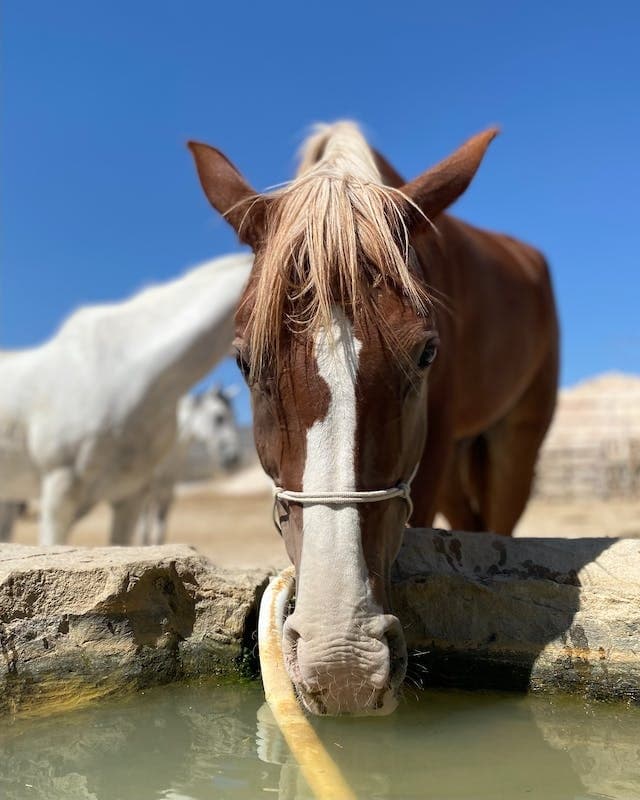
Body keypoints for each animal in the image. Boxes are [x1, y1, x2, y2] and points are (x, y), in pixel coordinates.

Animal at [135, 384, 242, 548]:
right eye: (219, 417)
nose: (233, 459)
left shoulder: (167, 493)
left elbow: (160, 532)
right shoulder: (142, 493)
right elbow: (144, 532)